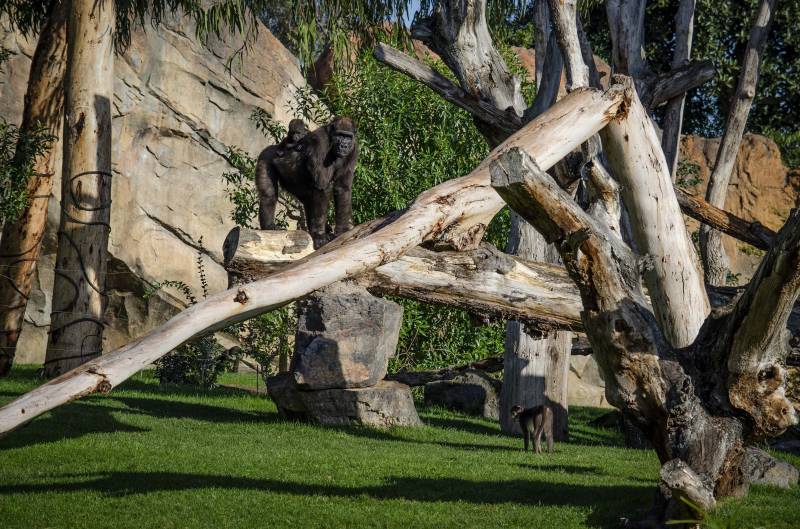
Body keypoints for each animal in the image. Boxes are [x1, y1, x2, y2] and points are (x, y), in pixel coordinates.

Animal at [256, 115, 360, 248]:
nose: (344, 145)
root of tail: (273, 146)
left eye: (348, 137)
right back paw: (269, 226)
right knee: (269, 194)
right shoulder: (320, 142)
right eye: (340, 135)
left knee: (308, 199)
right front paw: (320, 235)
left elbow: (342, 188)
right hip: (265, 156)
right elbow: (322, 186)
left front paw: (342, 231)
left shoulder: (354, 149)